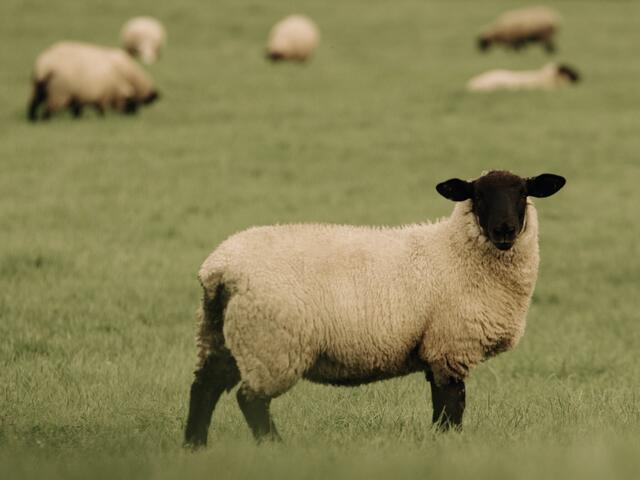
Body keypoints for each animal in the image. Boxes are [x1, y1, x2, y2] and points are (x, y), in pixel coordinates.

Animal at [28, 42, 159, 121]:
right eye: (130, 101)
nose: (132, 116)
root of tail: (45, 65)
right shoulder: (102, 97)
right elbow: (101, 110)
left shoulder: (79, 96)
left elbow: (78, 109)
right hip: (58, 93)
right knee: (47, 111)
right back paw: (45, 121)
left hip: (37, 88)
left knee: (32, 105)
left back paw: (32, 120)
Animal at [184, 170, 566, 447]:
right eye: (478, 195)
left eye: (522, 193)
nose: (505, 230)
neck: (456, 252)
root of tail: (219, 269)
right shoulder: (450, 346)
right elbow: (451, 406)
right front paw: (450, 444)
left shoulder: (437, 349)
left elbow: (441, 405)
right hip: (271, 343)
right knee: (251, 400)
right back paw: (274, 447)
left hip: (222, 335)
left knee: (204, 388)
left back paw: (194, 447)